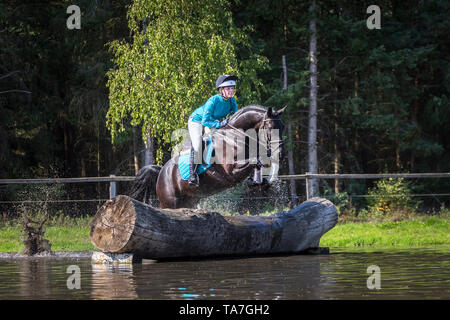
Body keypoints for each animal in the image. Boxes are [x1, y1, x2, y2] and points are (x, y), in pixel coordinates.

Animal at [128, 105, 286, 209]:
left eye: (283, 127)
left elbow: (259, 162)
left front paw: (262, 182)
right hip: (170, 202)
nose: (281, 154)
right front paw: (260, 181)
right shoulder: (231, 171)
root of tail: (161, 171)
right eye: (270, 128)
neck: (236, 136)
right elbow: (256, 161)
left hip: (189, 202)